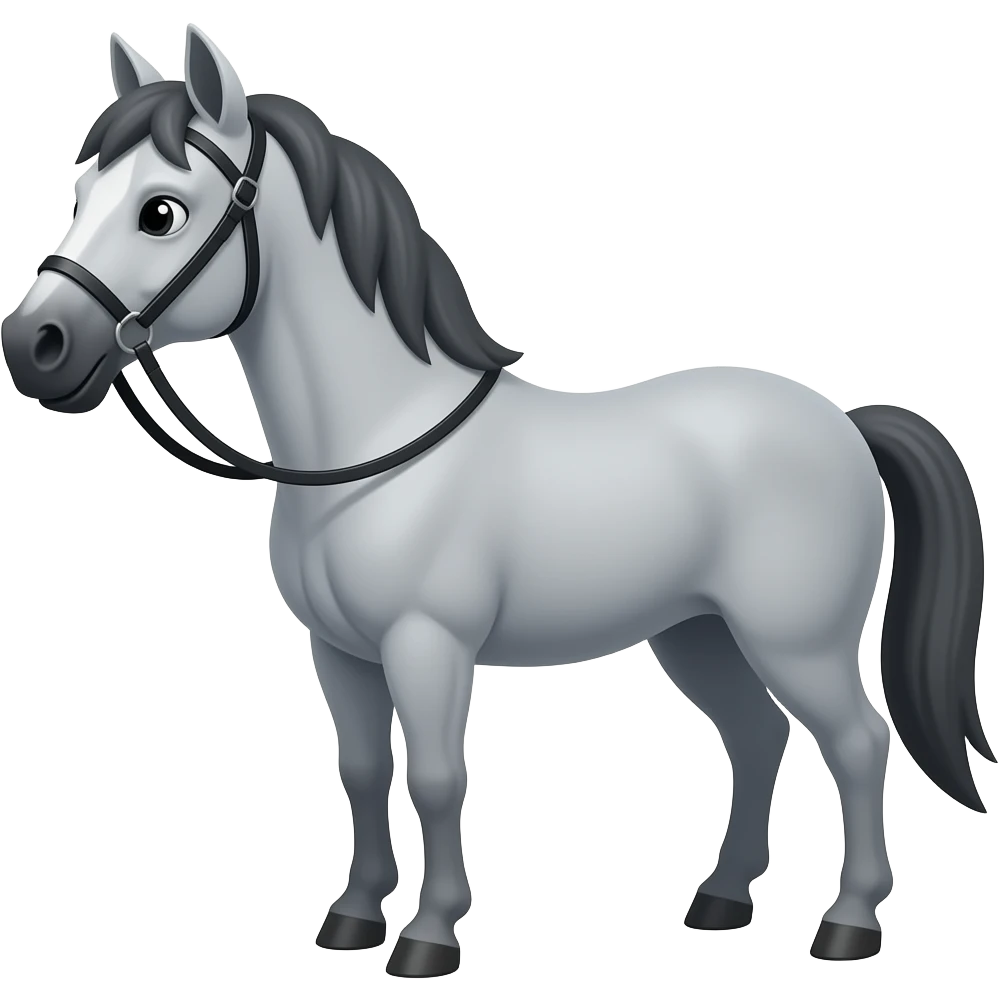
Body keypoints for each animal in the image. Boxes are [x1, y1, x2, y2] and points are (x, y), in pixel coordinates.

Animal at [1, 24, 991, 979]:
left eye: (161, 210)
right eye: (82, 191)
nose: (34, 344)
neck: (381, 443)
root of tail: (843, 422)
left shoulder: (428, 645)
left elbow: (437, 778)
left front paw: (429, 938)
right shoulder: (339, 651)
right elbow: (363, 771)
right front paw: (353, 918)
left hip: (797, 640)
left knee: (858, 745)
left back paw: (848, 924)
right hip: (700, 634)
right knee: (756, 740)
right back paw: (719, 902)